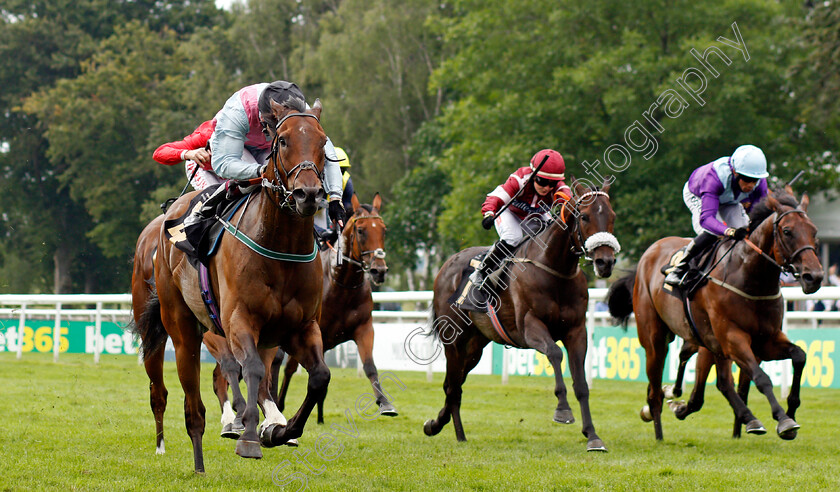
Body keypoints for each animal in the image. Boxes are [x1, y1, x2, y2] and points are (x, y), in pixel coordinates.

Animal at [133, 98, 330, 470]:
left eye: (323, 142)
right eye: (283, 140)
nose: (308, 194)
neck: (281, 247)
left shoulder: (301, 327)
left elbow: (319, 377)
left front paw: (280, 431)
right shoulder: (238, 320)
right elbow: (249, 368)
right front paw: (250, 436)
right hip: (176, 328)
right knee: (175, 396)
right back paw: (184, 454)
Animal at [274, 192, 396, 422]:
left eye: (384, 230)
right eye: (360, 230)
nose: (379, 270)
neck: (342, 285)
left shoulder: (364, 328)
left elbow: (370, 366)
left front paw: (385, 402)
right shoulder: (312, 331)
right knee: (281, 365)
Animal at [426, 179, 616, 452]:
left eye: (612, 216)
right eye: (585, 216)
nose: (605, 262)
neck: (554, 269)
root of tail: (446, 265)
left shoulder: (577, 331)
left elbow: (582, 385)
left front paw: (592, 436)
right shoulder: (529, 327)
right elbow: (555, 353)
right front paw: (562, 410)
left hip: (475, 346)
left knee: (455, 384)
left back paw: (437, 424)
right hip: (454, 341)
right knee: (453, 387)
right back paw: (457, 434)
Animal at [608, 188, 824, 442]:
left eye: (814, 231)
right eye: (787, 231)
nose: (814, 277)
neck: (750, 278)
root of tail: (649, 253)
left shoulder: (765, 340)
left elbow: (799, 356)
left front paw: (790, 409)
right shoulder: (732, 338)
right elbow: (761, 378)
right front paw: (783, 420)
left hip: (710, 344)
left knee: (716, 382)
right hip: (655, 339)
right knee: (655, 390)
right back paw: (659, 430)